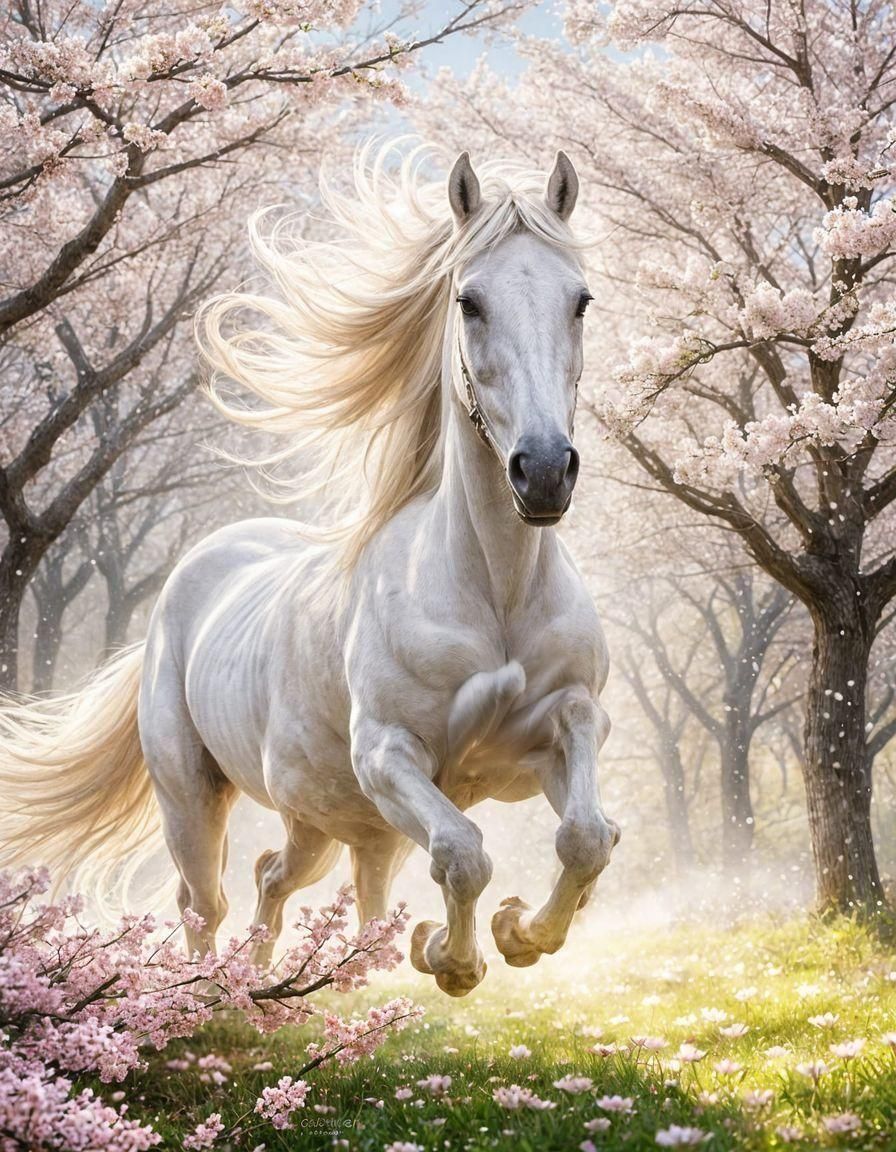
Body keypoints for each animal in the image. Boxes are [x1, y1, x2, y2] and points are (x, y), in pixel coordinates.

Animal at [0, 143, 619, 996]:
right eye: (470, 302)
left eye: (580, 300)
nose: (546, 471)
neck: (492, 592)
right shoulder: (389, 757)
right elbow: (462, 853)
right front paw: (452, 959)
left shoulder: (556, 731)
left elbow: (588, 834)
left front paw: (516, 933)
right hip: (196, 799)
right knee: (206, 902)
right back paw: (218, 998)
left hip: (330, 821)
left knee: (290, 878)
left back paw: (290, 983)